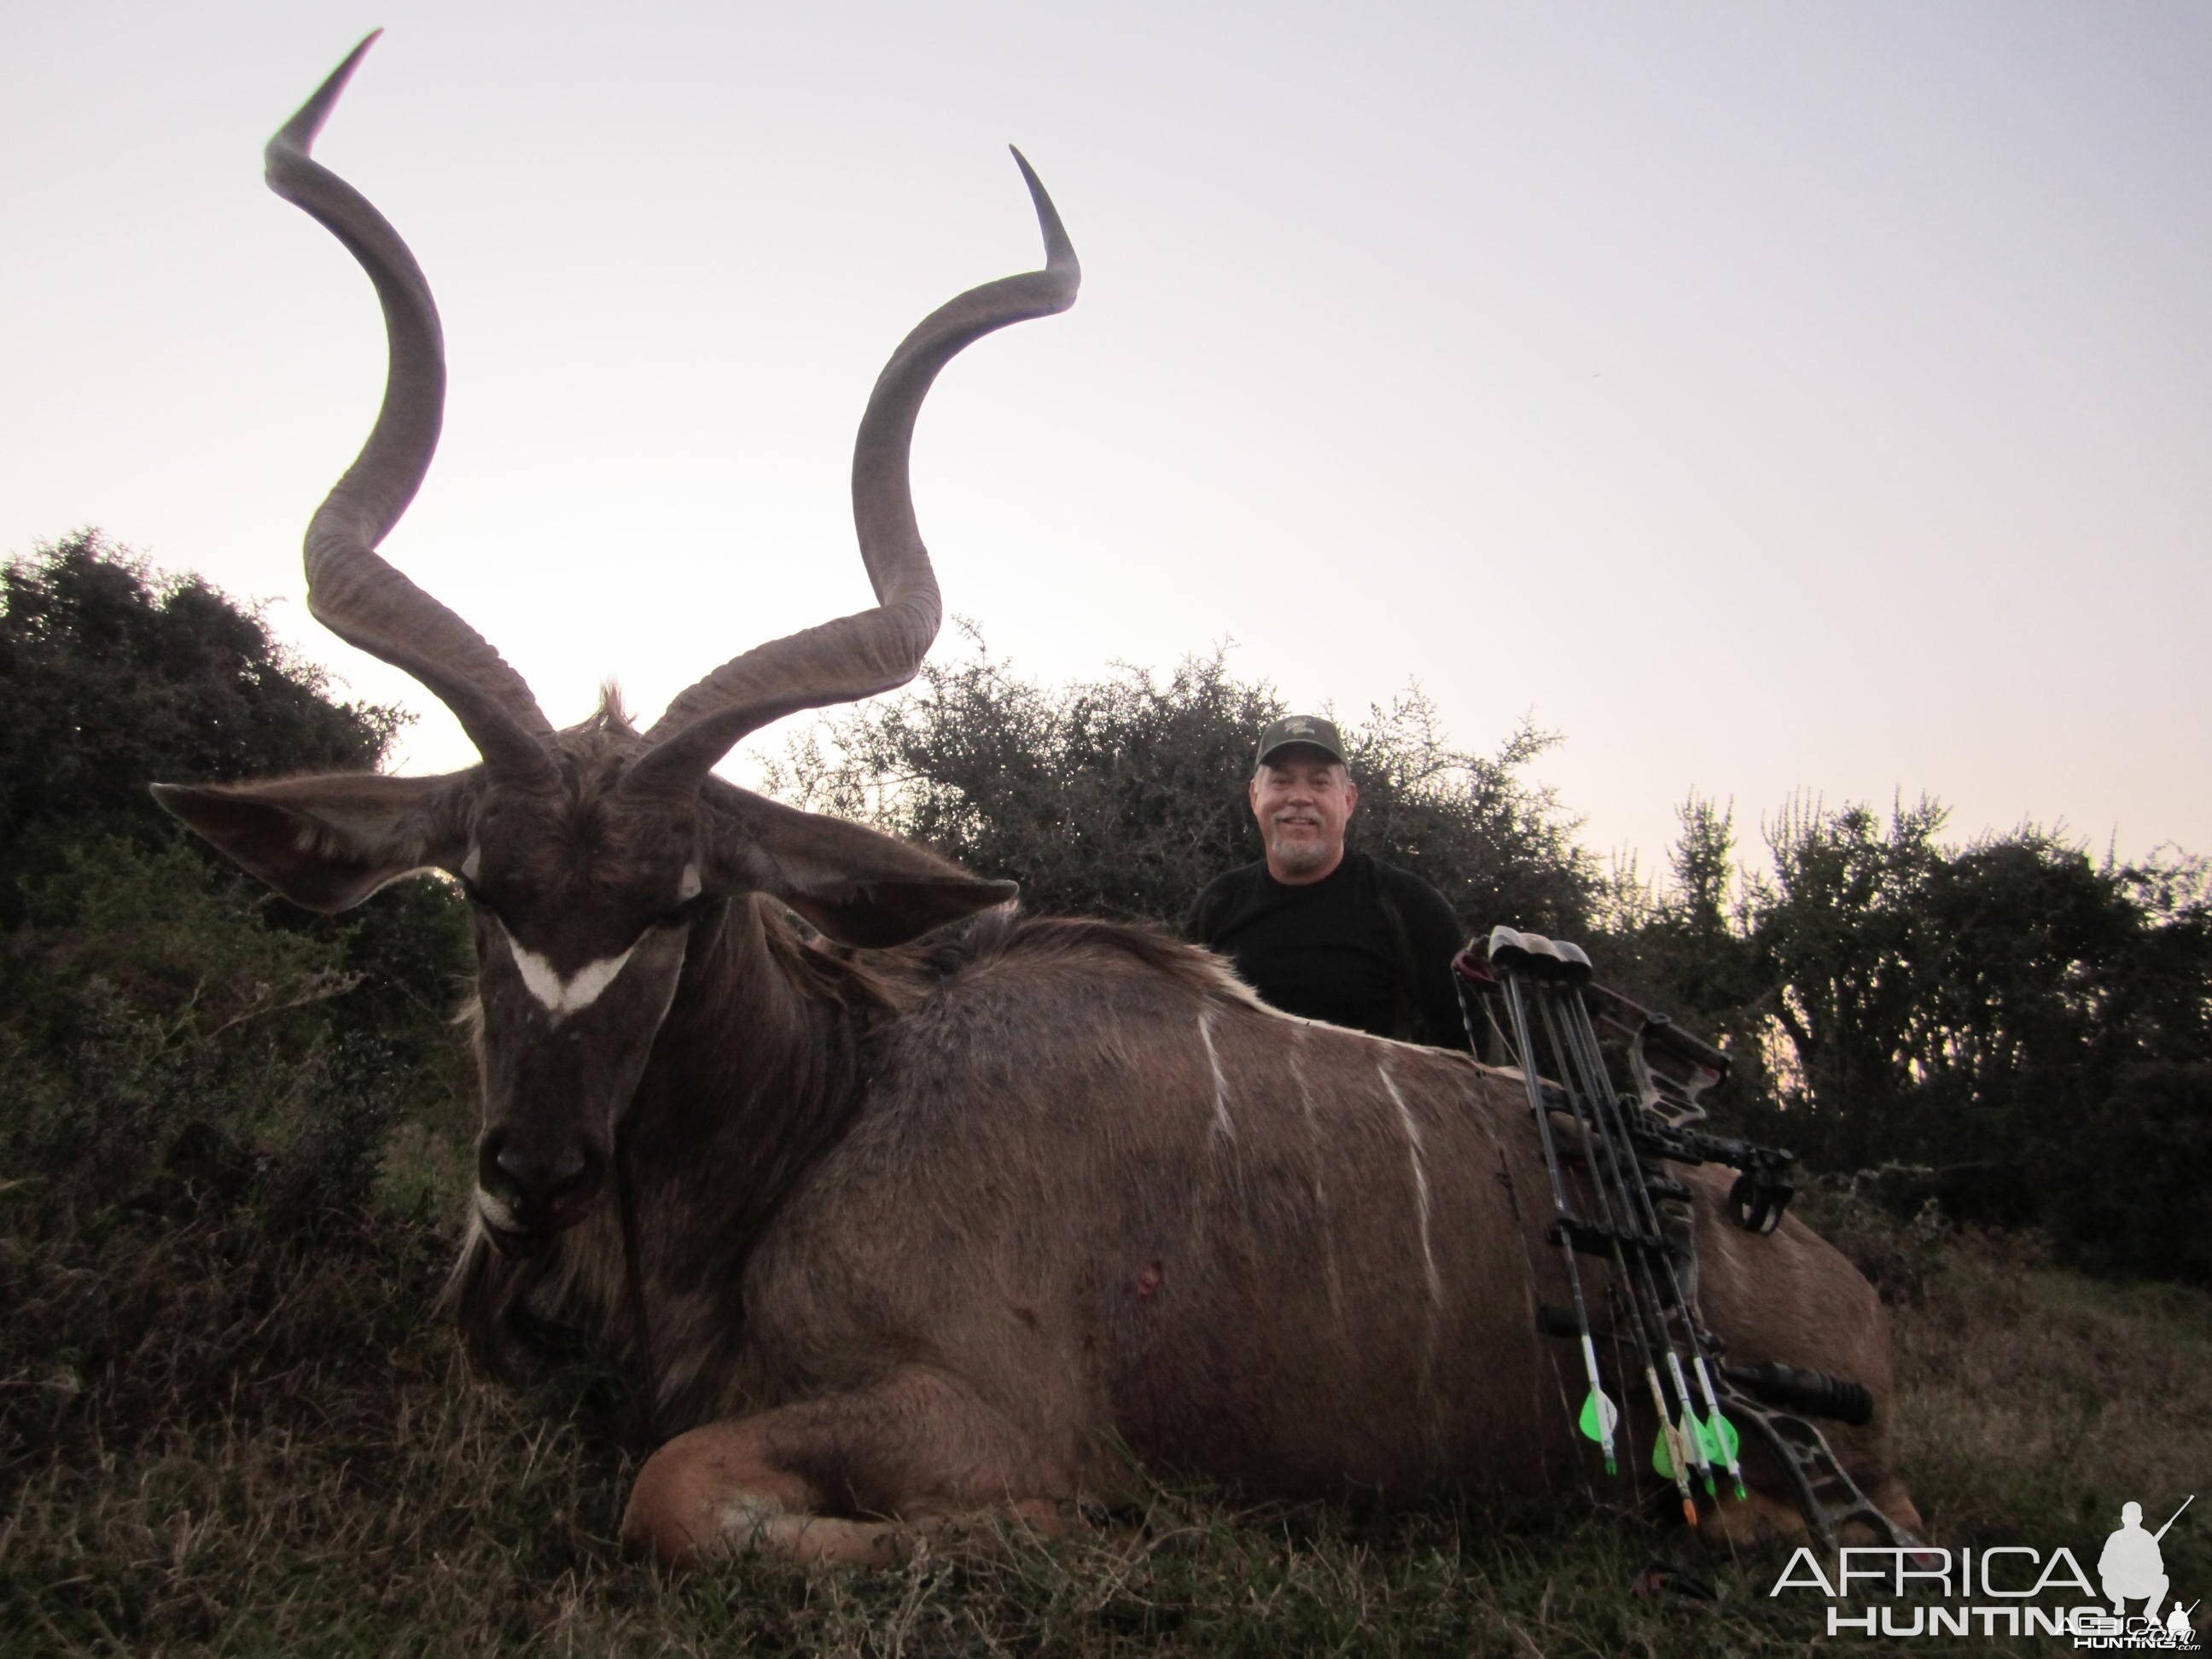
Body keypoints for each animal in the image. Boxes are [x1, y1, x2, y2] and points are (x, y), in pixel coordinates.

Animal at [155, 38, 1919, 1575]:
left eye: (681, 900)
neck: (830, 1110)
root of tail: (1838, 1283)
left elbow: (681, 1488)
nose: (532, 1174)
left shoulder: (970, 1411)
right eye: (481, 886)